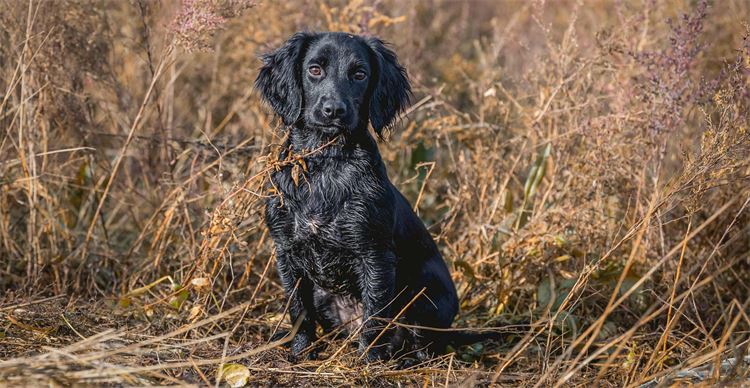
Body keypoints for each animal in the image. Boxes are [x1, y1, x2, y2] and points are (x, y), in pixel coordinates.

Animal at [256, 31, 496, 362]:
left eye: (359, 74)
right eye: (314, 69)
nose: (334, 110)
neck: (327, 164)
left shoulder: (375, 254)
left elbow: (374, 316)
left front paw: (369, 362)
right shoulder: (286, 251)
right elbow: (299, 312)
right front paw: (300, 352)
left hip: (426, 296)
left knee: (423, 344)